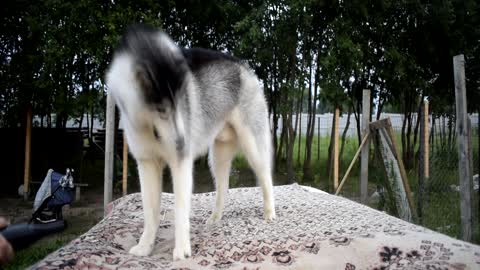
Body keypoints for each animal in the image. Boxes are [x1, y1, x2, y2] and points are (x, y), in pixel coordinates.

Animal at [106, 25, 276, 260]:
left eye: (183, 101)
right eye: (162, 108)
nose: (182, 142)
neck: (149, 124)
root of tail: (242, 65)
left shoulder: (181, 165)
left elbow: (180, 210)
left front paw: (181, 250)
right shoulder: (147, 163)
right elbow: (150, 212)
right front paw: (145, 246)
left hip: (253, 146)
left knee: (265, 177)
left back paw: (270, 212)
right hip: (218, 157)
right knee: (223, 186)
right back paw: (215, 217)